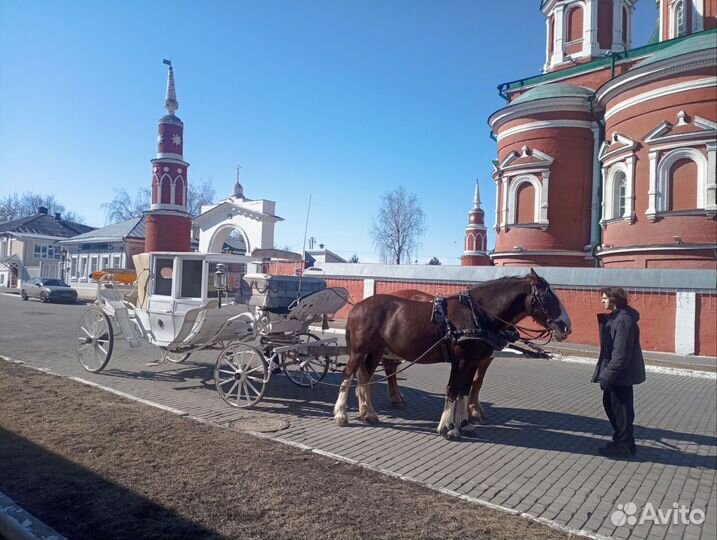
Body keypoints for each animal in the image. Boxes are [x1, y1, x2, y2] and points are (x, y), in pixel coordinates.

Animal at [332, 270, 572, 438]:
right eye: (547, 298)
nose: (567, 327)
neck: (477, 314)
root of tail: (358, 306)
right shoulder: (461, 360)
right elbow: (452, 389)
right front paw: (447, 427)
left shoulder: (473, 361)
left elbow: (465, 390)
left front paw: (464, 424)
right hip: (359, 351)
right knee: (348, 375)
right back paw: (342, 414)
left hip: (375, 352)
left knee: (365, 378)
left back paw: (369, 413)